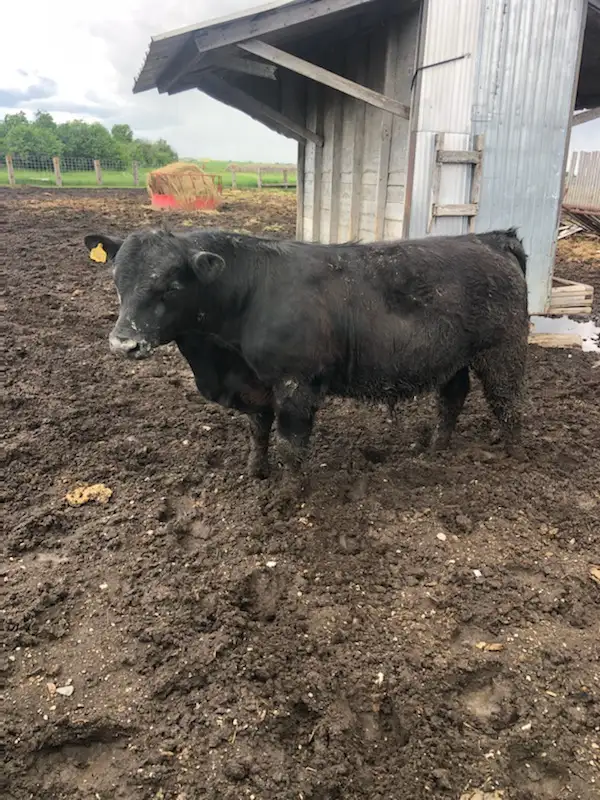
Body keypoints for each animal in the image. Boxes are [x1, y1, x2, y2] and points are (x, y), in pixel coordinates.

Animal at [84, 226, 529, 477]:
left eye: (172, 286)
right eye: (116, 278)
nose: (123, 341)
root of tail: (488, 239)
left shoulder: (295, 383)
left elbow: (290, 445)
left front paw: (289, 500)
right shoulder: (255, 385)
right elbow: (257, 431)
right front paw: (256, 473)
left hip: (502, 352)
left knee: (508, 404)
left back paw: (510, 457)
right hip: (454, 359)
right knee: (452, 397)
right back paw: (437, 449)